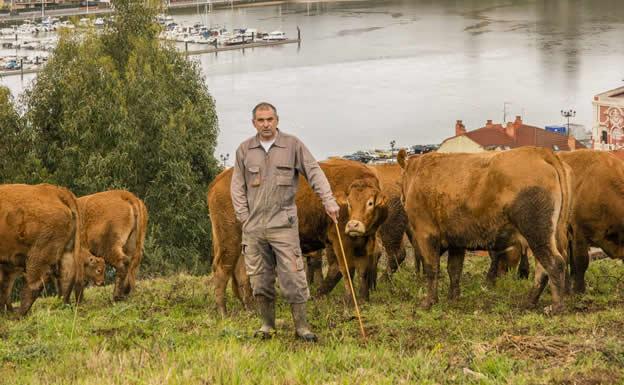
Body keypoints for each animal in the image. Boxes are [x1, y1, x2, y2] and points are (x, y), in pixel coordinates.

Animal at [0, 184, 85, 316]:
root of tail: (56, 191)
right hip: (66, 249)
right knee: (67, 275)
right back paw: (62, 306)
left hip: (38, 254)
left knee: (36, 282)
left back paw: (19, 314)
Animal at [207, 157, 388, 316]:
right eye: (349, 203)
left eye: (370, 202)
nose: (353, 225)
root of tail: (219, 180)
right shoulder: (340, 240)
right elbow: (346, 270)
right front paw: (350, 302)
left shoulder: (366, 241)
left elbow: (362, 271)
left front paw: (363, 300)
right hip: (229, 239)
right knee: (222, 269)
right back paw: (223, 312)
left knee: (242, 273)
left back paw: (252, 309)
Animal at [400, 147, 572, 312]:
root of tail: (539, 151)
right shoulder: (456, 241)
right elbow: (454, 269)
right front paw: (453, 298)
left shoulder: (425, 233)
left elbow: (431, 268)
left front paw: (428, 302)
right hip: (546, 235)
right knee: (543, 268)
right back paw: (530, 302)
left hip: (536, 233)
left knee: (554, 263)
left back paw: (556, 307)